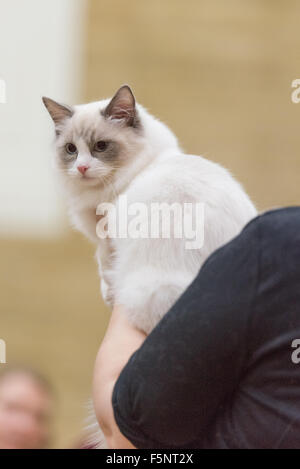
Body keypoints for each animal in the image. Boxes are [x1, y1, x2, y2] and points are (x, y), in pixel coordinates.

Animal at [43, 84, 256, 446]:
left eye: (101, 147)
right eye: (71, 150)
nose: (82, 168)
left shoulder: (108, 238)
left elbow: (104, 266)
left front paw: (108, 293)